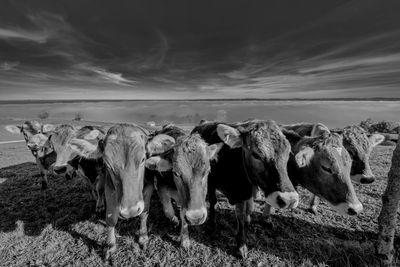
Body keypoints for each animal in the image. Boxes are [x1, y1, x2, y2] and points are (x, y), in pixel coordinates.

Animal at [67, 124, 173, 260]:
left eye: (143, 159)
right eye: (107, 162)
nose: (130, 211)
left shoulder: (148, 187)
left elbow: (144, 213)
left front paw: (143, 237)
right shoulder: (109, 188)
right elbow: (110, 218)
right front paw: (110, 245)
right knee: (99, 189)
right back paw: (99, 205)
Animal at [191, 120, 300, 258]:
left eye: (288, 153)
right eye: (256, 155)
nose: (289, 200)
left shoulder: (244, 192)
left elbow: (245, 212)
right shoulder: (211, 182)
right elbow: (216, 204)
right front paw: (214, 228)